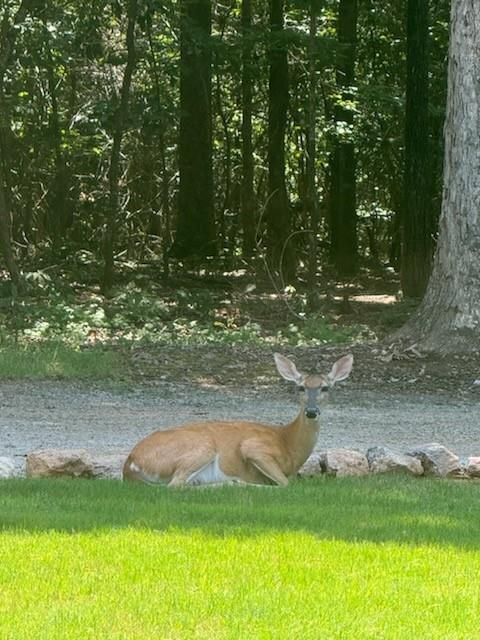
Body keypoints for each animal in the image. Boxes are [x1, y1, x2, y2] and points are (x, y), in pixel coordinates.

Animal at [124, 352, 352, 488]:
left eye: (325, 387)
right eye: (301, 387)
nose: (312, 411)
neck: (289, 445)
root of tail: (130, 464)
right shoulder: (253, 446)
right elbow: (286, 483)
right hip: (203, 446)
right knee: (175, 485)